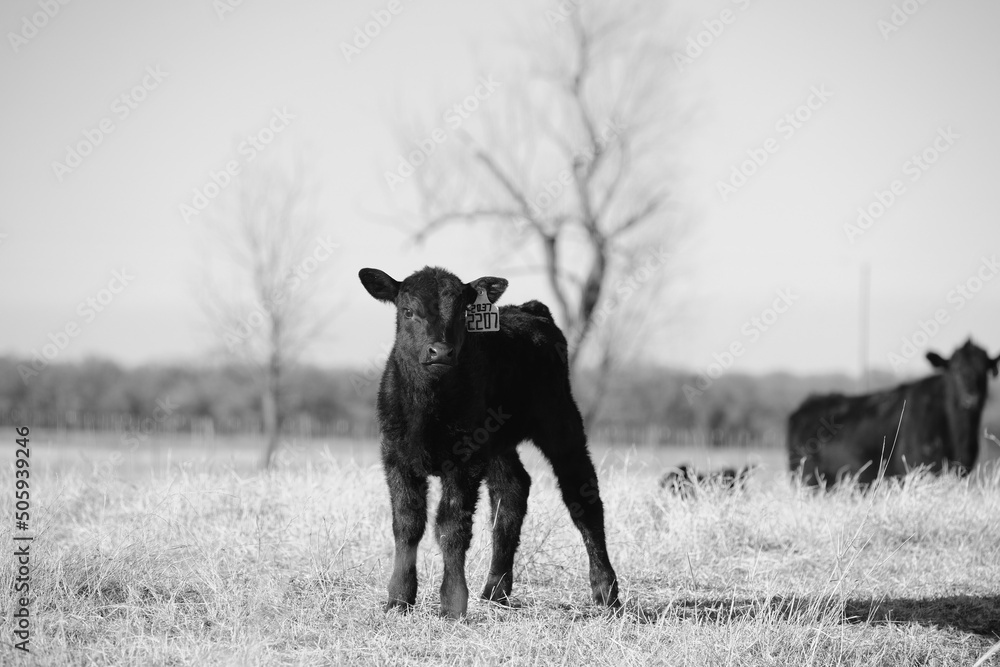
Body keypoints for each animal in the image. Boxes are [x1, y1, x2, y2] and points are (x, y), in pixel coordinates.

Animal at [358, 266, 619, 619]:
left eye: (464, 313)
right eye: (407, 311)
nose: (440, 351)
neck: (429, 408)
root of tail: (529, 309)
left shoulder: (465, 462)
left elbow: (452, 526)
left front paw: (452, 602)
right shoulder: (396, 457)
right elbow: (407, 524)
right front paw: (399, 598)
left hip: (560, 420)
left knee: (582, 496)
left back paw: (606, 593)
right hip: (497, 443)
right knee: (512, 491)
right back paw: (495, 590)